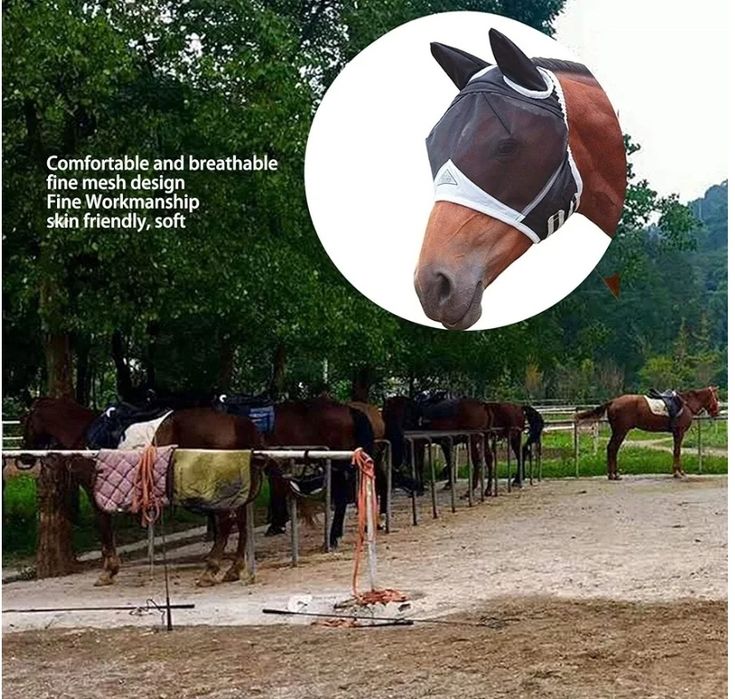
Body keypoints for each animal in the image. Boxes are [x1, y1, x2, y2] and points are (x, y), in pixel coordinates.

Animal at [21, 396, 270, 586]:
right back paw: (234, 569)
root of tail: (237, 423)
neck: (84, 436)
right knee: (240, 522)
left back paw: (210, 571)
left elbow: (104, 528)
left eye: (26, 421)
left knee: (227, 523)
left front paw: (108, 571)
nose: (24, 458)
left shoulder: (95, 493)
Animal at [265, 397, 374, 547]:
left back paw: (333, 537)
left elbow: (275, 490)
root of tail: (349, 409)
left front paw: (277, 524)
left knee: (342, 497)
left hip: (336, 463)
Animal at [575, 387, 720, 480]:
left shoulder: (676, 433)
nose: (716, 412)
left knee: (612, 449)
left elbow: (676, 451)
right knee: (612, 448)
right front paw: (678, 473)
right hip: (621, 431)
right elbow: (677, 451)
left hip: (618, 431)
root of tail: (613, 401)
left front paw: (677, 472)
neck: (686, 405)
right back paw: (613, 475)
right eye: (716, 397)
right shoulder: (679, 432)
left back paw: (613, 474)